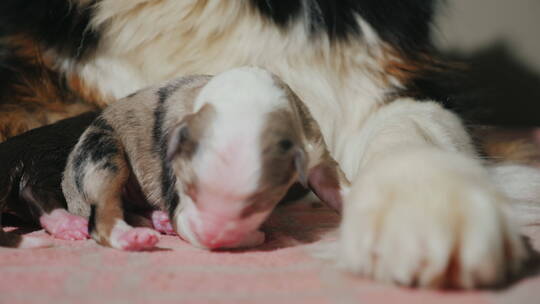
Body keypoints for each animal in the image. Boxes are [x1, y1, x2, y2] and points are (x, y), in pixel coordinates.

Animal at [63, 67, 350, 251]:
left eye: (258, 204)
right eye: (188, 188)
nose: (209, 238)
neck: (244, 98)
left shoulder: (314, 147)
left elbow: (334, 185)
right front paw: (253, 237)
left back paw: (159, 220)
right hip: (102, 153)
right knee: (102, 216)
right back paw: (133, 237)